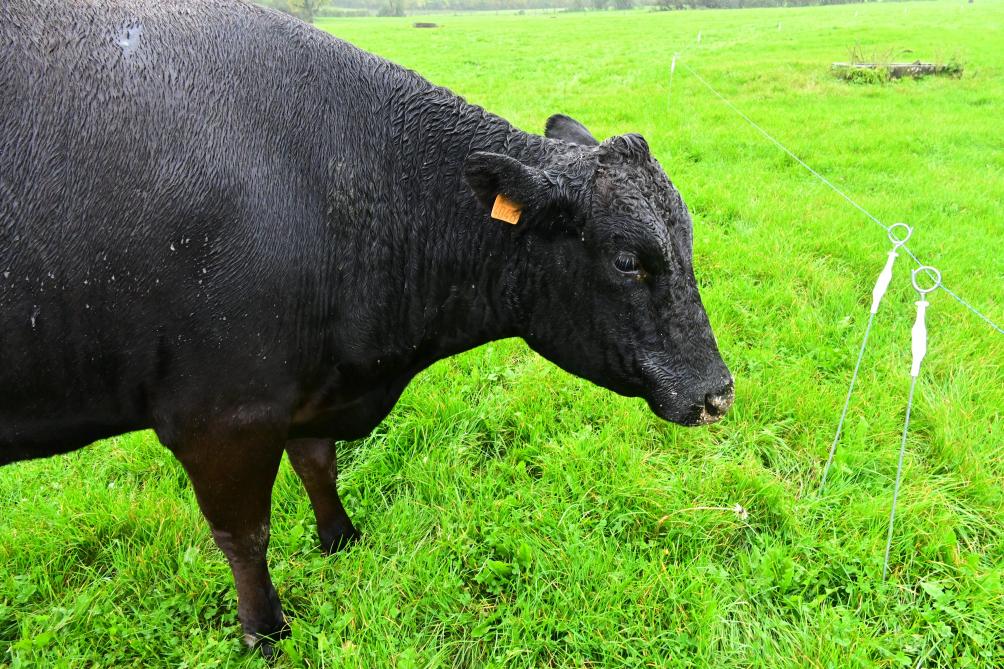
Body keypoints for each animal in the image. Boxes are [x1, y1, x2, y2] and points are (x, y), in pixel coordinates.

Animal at [3, 0, 734, 650]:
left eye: (689, 240)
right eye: (628, 260)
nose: (717, 392)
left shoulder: (309, 389)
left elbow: (317, 463)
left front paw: (340, 539)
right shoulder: (220, 417)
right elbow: (245, 534)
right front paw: (265, 631)